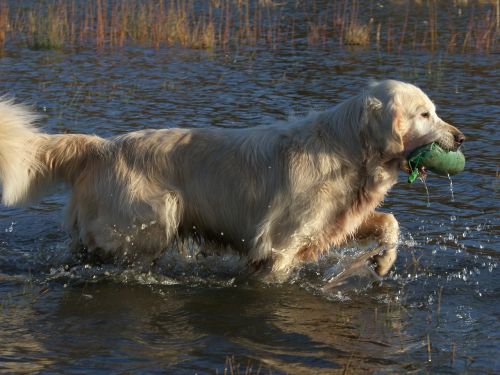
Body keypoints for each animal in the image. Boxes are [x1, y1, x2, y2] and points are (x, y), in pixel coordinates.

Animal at [0, 81, 464, 282]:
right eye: (425, 114)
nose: (461, 138)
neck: (347, 149)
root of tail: (100, 147)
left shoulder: (335, 221)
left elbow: (390, 223)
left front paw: (382, 263)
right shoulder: (277, 244)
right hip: (151, 219)